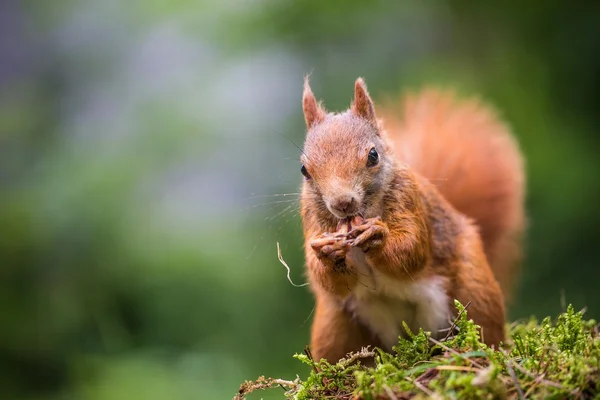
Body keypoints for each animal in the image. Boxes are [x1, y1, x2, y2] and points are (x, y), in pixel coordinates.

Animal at [300, 76, 524, 360]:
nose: (342, 203)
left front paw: (377, 236)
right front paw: (327, 252)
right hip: (334, 326)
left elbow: (412, 250)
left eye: (373, 155)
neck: (362, 213)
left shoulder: (410, 200)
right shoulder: (311, 220)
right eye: (304, 169)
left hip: (475, 291)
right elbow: (328, 280)